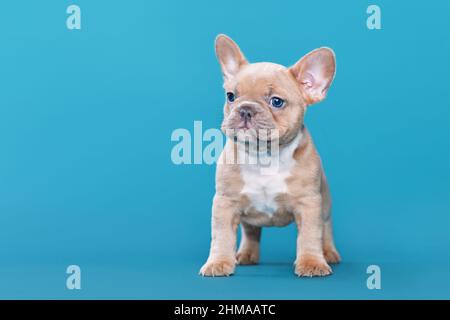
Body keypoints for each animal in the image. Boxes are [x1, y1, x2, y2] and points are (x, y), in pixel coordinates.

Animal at [199, 33, 340, 276]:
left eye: (276, 101)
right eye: (231, 96)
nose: (245, 109)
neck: (263, 156)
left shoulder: (309, 204)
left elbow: (310, 236)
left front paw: (311, 262)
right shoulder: (225, 203)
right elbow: (222, 236)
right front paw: (218, 262)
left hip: (325, 204)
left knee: (326, 227)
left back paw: (329, 253)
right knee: (251, 232)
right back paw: (246, 254)